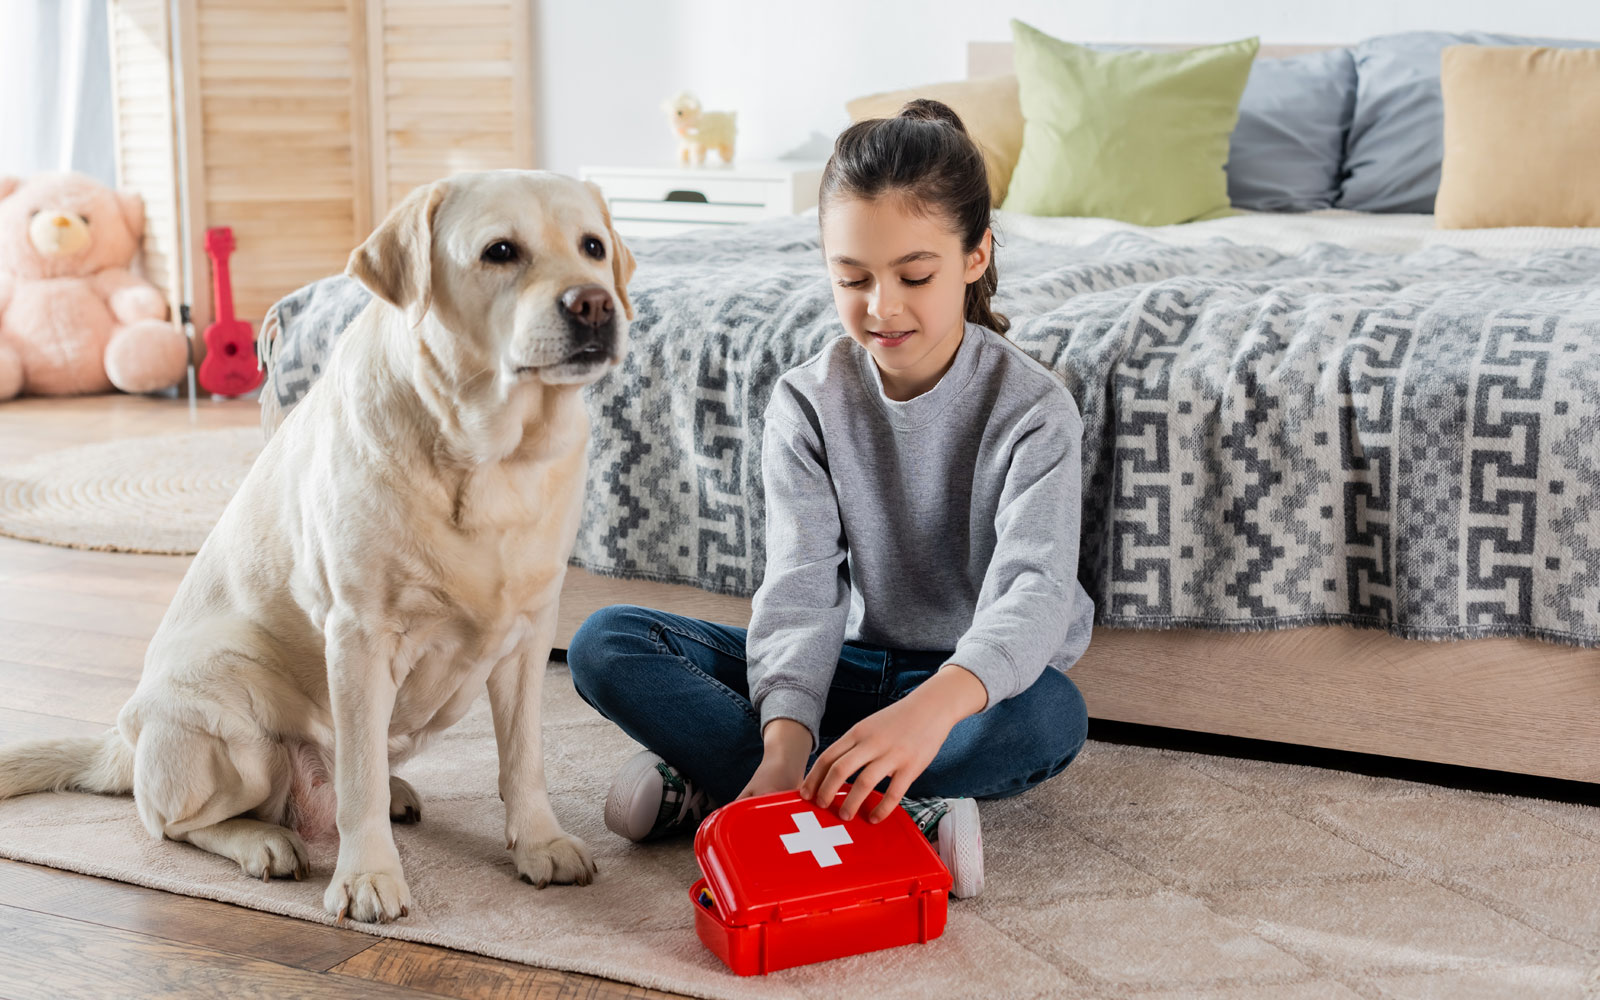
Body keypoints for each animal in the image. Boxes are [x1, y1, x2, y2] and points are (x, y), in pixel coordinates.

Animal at [0, 169, 633, 921]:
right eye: (499, 251)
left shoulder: (531, 634)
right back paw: (265, 843)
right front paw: (369, 878)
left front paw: (540, 844)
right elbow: (358, 782)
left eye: (593, 247)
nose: (594, 305)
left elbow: (523, 756)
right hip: (233, 725)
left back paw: (396, 796)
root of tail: (123, 738)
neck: (492, 455)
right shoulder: (358, 635)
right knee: (173, 822)